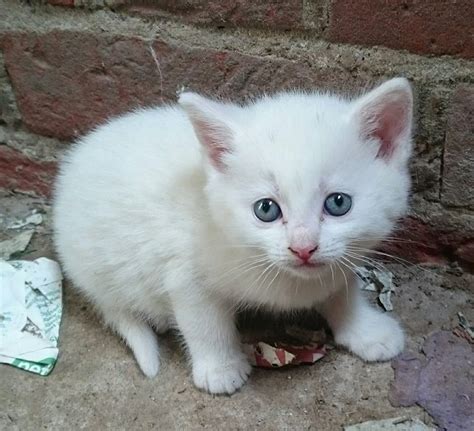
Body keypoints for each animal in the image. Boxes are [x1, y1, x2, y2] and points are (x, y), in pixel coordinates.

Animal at [53, 77, 412, 394]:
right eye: (266, 209)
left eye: (338, 203)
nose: (303, 248)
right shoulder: (185, 272)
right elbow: (204, 324)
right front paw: (219, 368)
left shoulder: (339, 259)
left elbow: (341, 289)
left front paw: (364, 331)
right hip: (97, 268)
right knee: (116, 306)